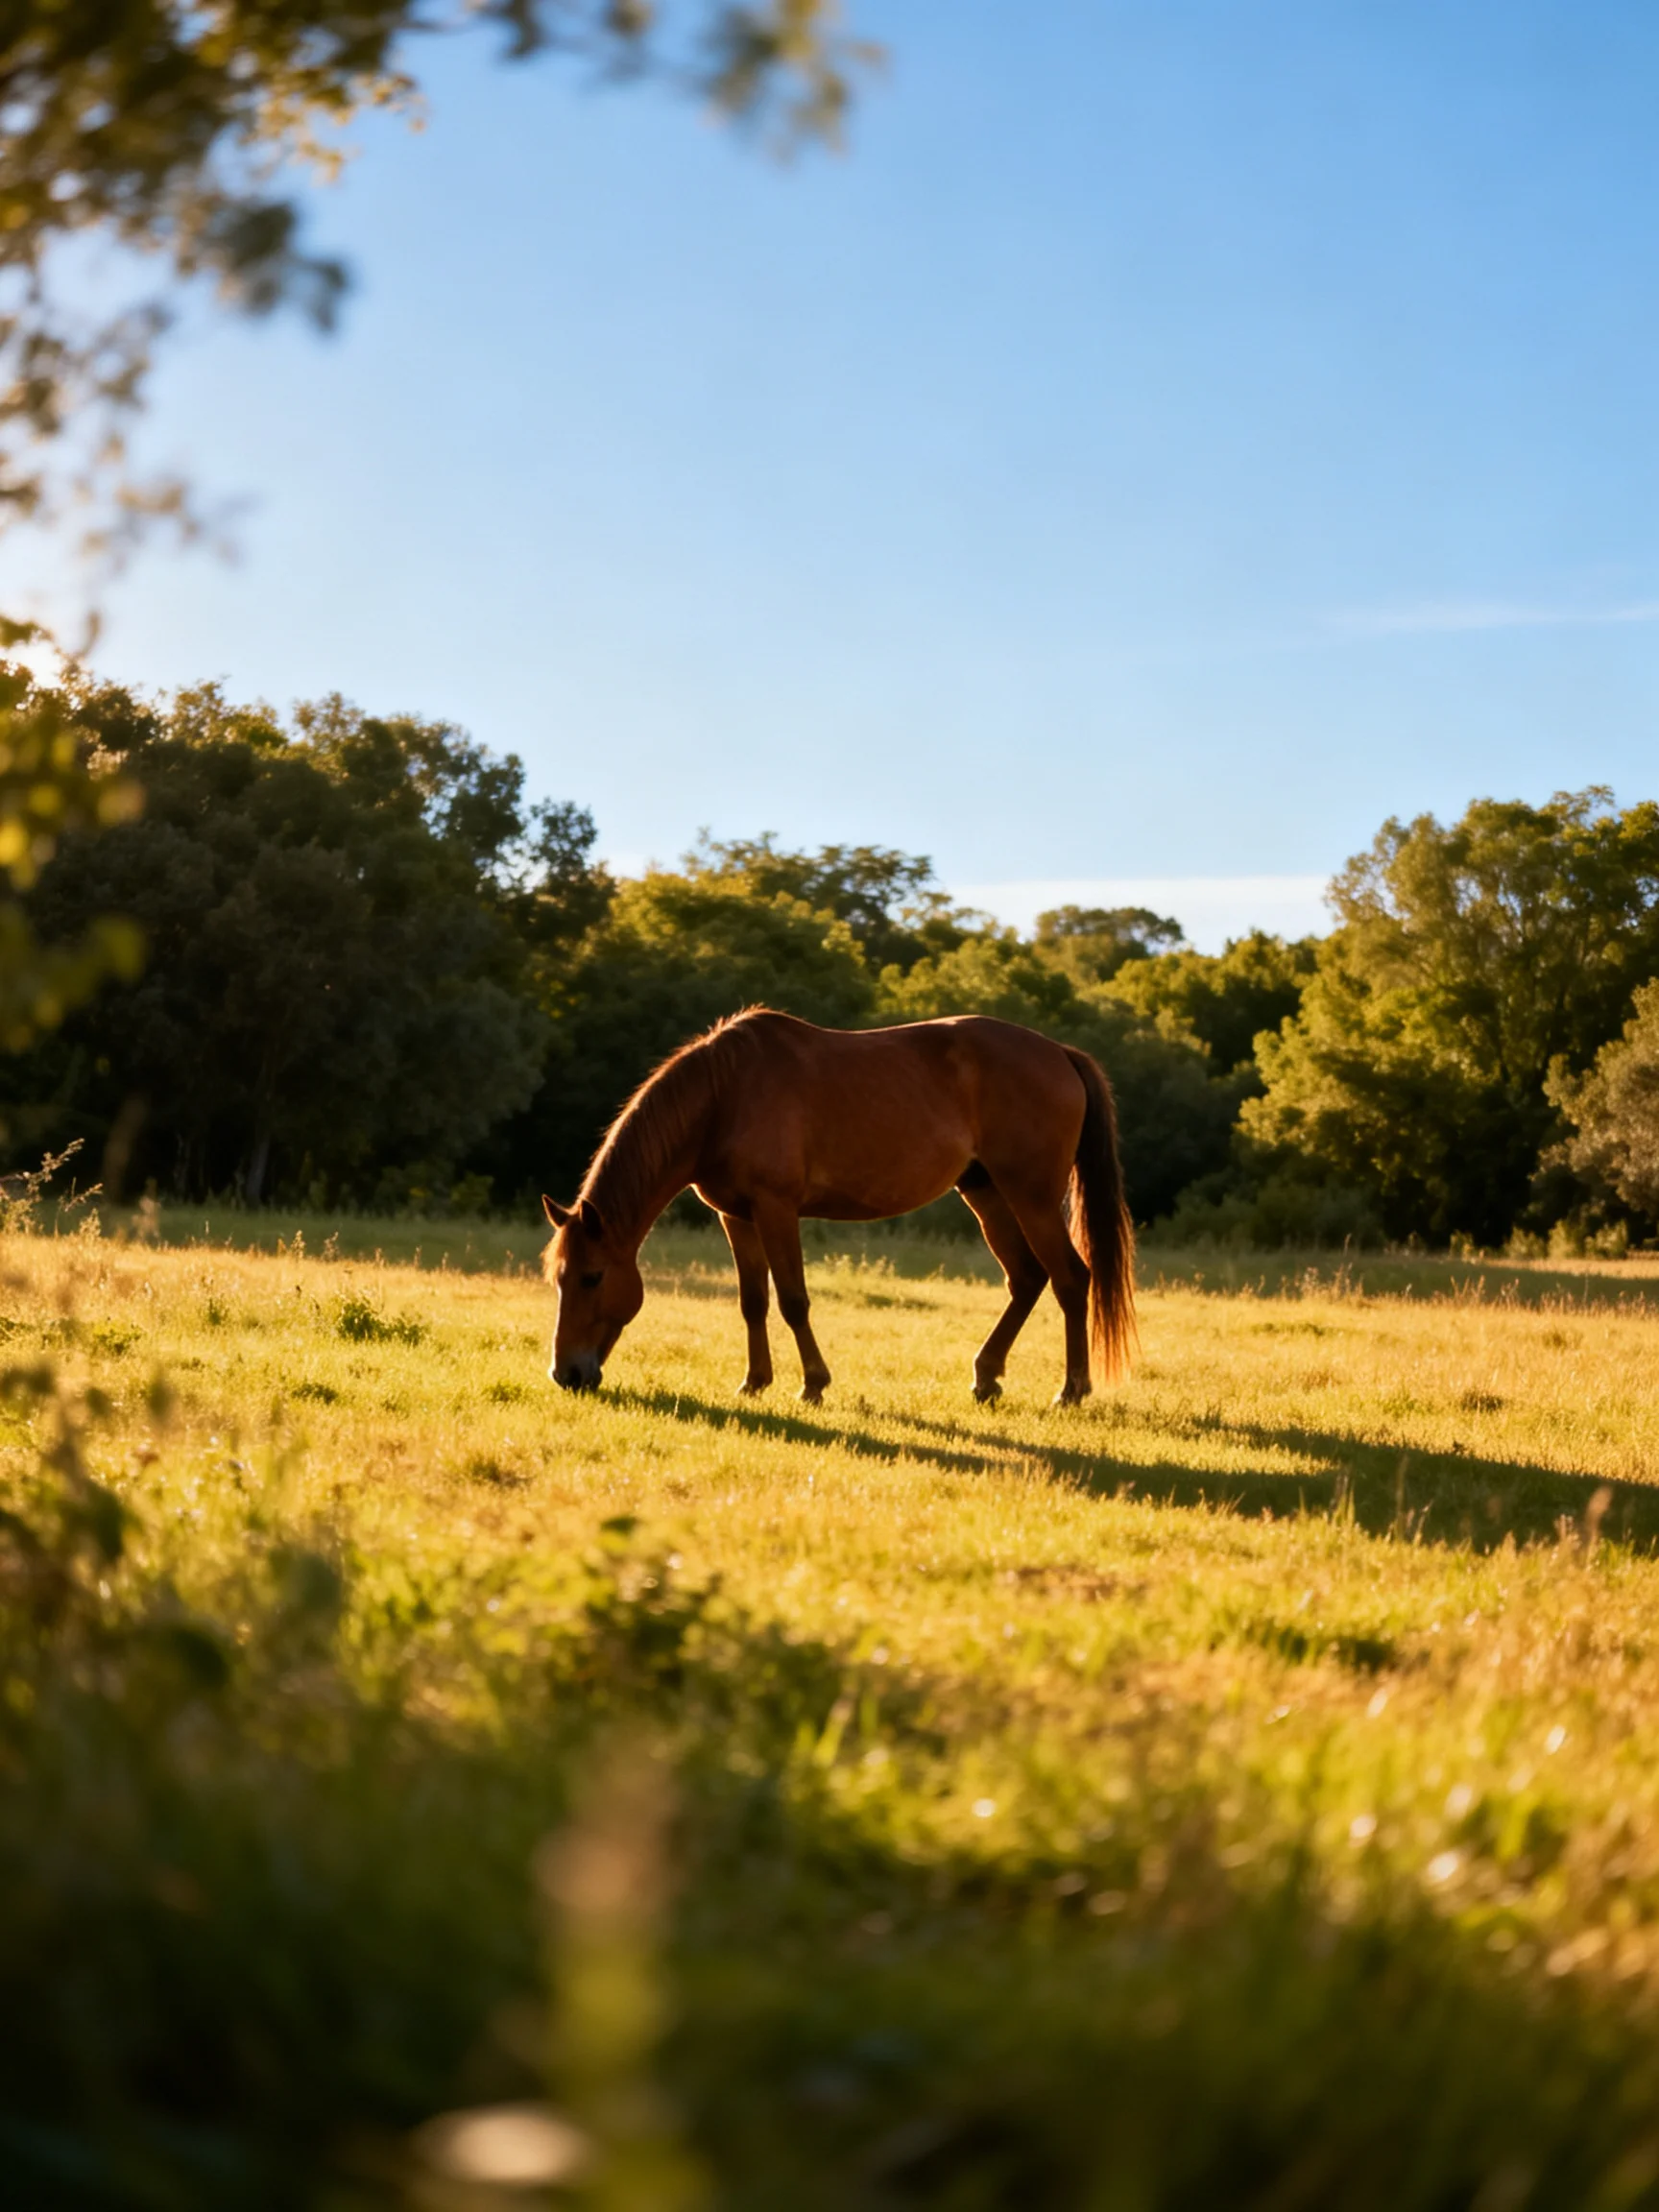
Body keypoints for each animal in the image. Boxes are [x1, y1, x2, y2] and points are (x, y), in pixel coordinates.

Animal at [541, 1008, 1136, 1406]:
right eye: (558, 1279)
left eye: (593, 1277)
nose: (566, 1374)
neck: (725, 1096)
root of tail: (1059, 1053)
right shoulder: (736, 1216)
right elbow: (753, 1302)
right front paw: (755, 1382)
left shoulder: (776, 1209)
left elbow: (793, 1301)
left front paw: (813, 1384)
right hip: (987, 1193)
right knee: (1027, 1279)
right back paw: (987, 1377)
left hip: (1031, 1196)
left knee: (1070, 1278)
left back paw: (1071, 1389)